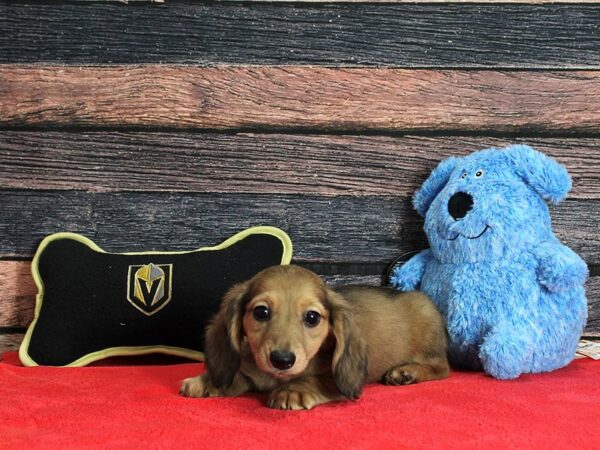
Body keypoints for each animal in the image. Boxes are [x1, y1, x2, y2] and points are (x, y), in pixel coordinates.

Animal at [180, 266, 448, 410]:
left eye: (312, 317)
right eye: (261, 312)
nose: (282, 360)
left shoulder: (334, 378)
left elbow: (315, 380)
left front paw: (293, 391)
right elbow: (237, 375)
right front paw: (207, 381)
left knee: (442, 369)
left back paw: (406, 372)